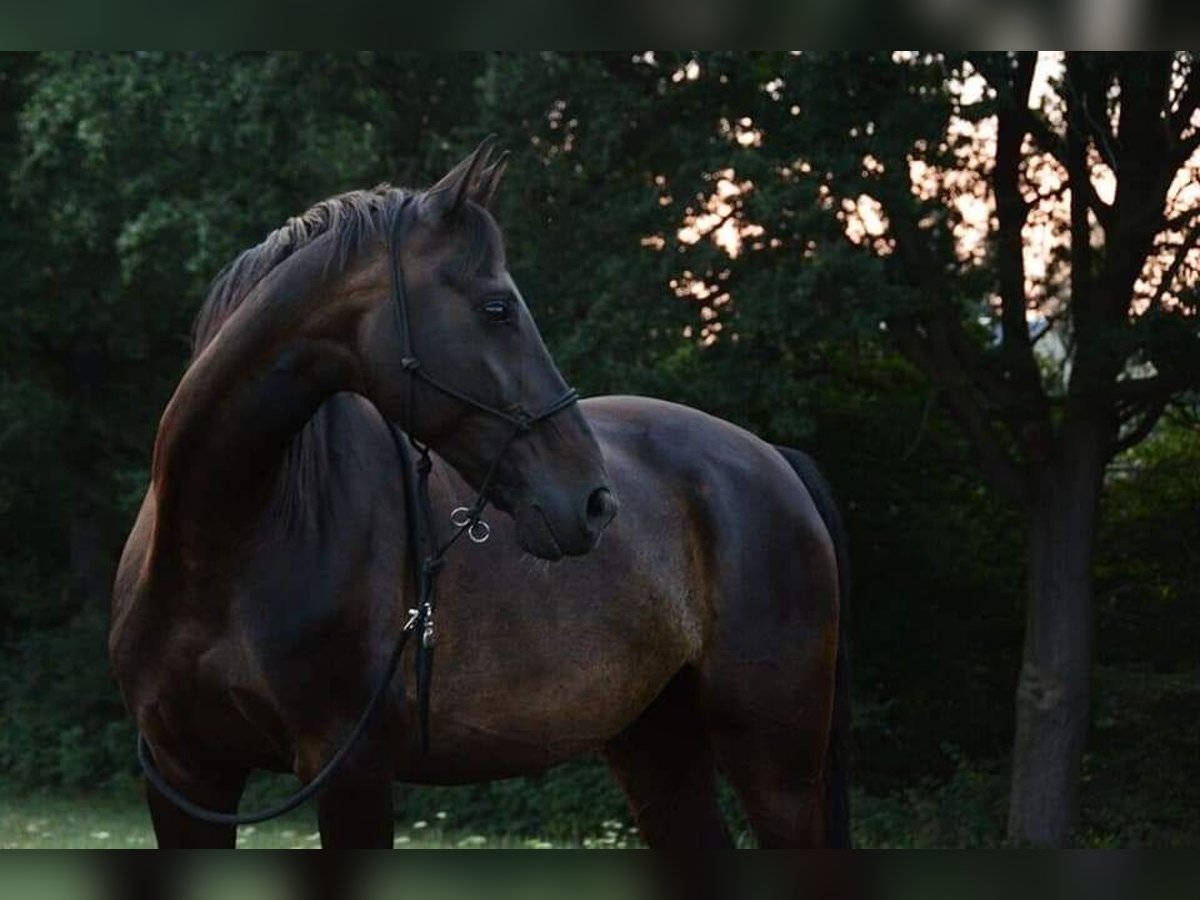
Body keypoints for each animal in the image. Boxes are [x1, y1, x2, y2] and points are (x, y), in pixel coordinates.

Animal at [108, 142, 849, 854]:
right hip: (655, 744)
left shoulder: (352, 773)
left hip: (776, 763)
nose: (594, 503)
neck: (222, 542)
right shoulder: (186, 776)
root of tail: (772, 460)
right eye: (497, 308)